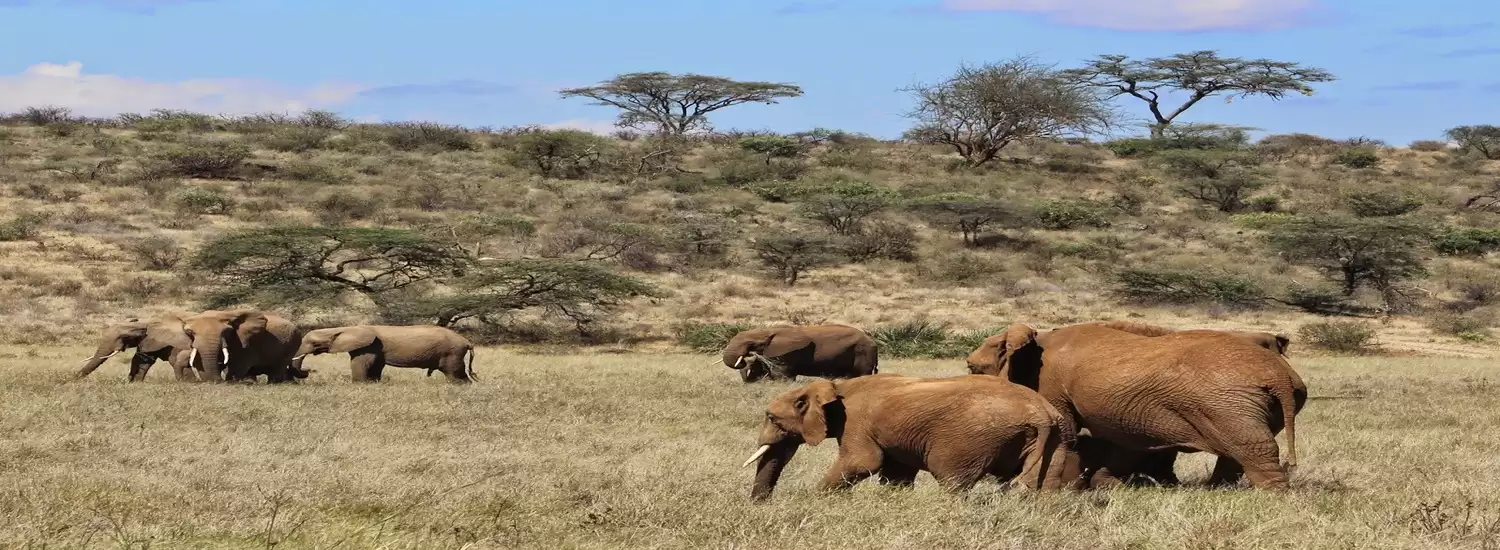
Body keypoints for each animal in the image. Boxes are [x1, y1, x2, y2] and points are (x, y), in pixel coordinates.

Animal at [178, 309, 307, 384]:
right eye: (190, 332)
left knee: (278, 367)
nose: (217, 381)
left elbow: (238, 365)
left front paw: (231, 382)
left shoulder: (245, 343)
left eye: (226, 332)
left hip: (292, 342)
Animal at [291, 325, 476, 383]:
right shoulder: (375, 350)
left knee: (454, 374)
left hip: (452, 353)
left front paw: (358, 385)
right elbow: (375, 367)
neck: (345, 328)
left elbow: (360, 365)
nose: (307, 370)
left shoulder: (368, 347)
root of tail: (467, 342)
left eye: (314, 343)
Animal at [720, 324, 878, 383]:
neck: (770, 330)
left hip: (863, 352)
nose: (744, 359)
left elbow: (780, 374)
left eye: (751, 344)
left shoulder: (785, 353)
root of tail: (872, 341)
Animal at [742, 373, 1075, 501]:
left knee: (952, 481)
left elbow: (862, 462)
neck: (836, 386)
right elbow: (895, 473)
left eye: (771, 418)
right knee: (1044, 484)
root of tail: (1039, 412)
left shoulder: (856, 423)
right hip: (1058, 436)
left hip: (970, 441)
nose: (761, 504)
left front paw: (818, 500)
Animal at [966, 321, 1307, 489]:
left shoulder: (1052, 384)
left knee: (1253, 448)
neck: (1039, 337)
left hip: (1229, 404)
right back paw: (1217, 492)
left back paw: (1274, 499)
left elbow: (1066, 433)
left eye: (972, 369)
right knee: (1237, 452)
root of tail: (1280, 376)